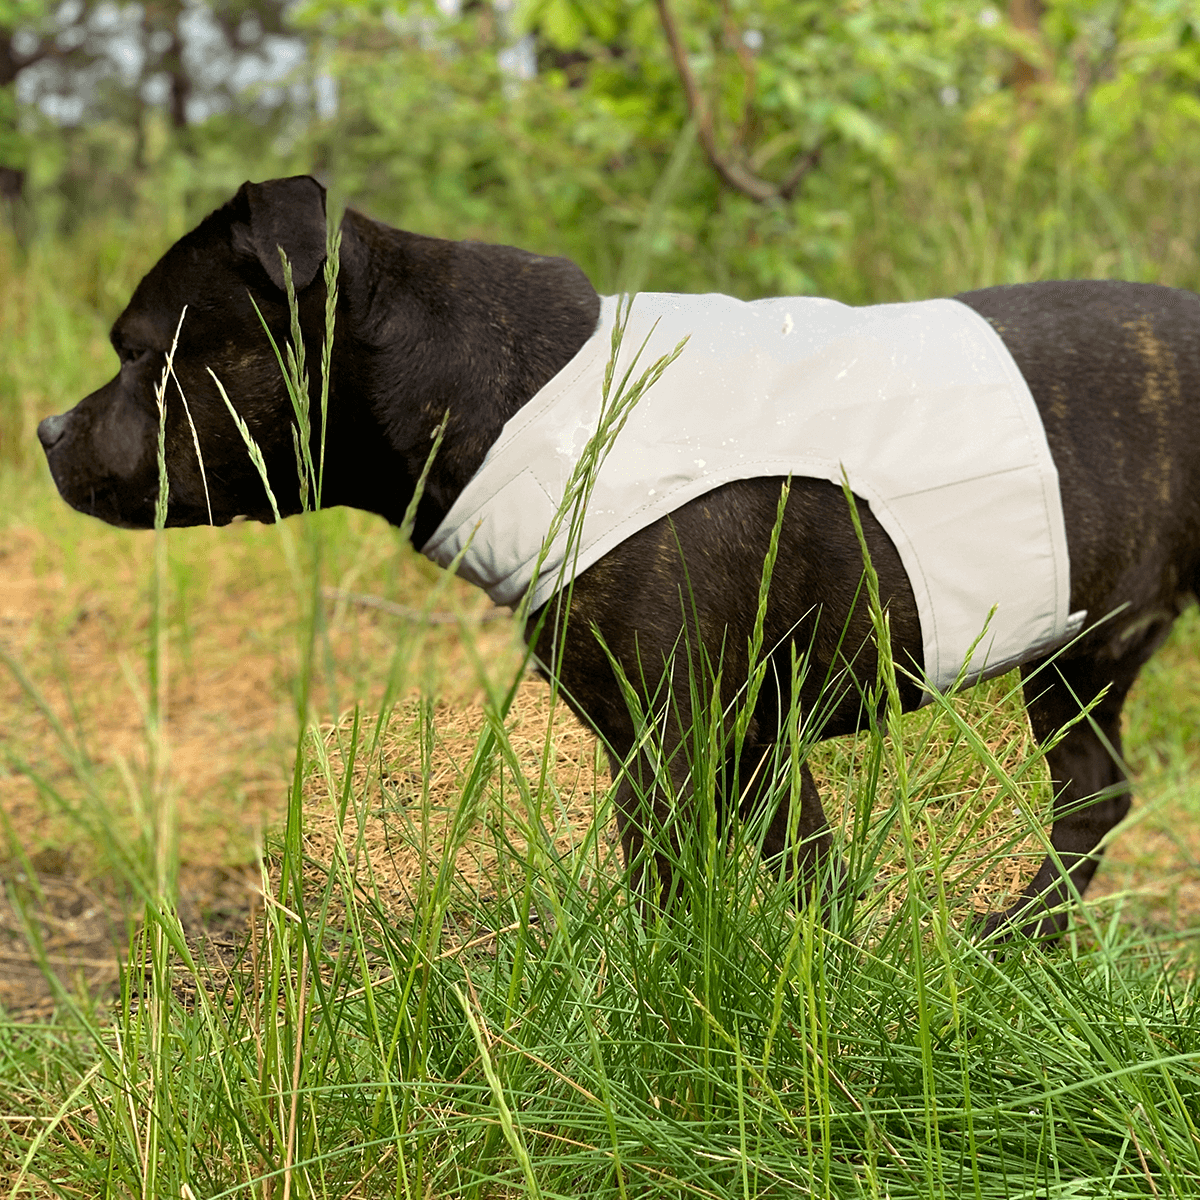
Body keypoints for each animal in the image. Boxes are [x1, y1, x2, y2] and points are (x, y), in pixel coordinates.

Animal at [37, 174, 1200, 936]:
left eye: (139, 353)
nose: (47, 430)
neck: (509, 388)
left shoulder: (667, 744)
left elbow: (665, 904)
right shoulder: (750, 738)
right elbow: (809, 870)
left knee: (1088, 796)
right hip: (1077, 660)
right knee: (1093, 793)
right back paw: (1016, 943)